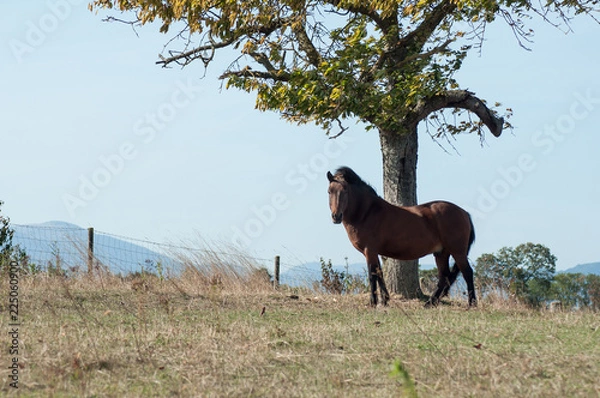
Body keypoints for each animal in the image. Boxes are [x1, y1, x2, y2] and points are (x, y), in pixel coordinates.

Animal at [326, 166, 476, 306]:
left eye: (345, 190)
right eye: (329, 191)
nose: (336, 216)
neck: (367, 213)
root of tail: (464, 213)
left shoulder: (370, 250)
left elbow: (372, 275)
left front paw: (373, 303)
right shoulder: (374, 252)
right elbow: (380, 273)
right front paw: (385, 300)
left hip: (457, 251)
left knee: (467, 272)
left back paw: (472, 304)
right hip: (441, 253)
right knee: (444, 277)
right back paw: (429, 303)